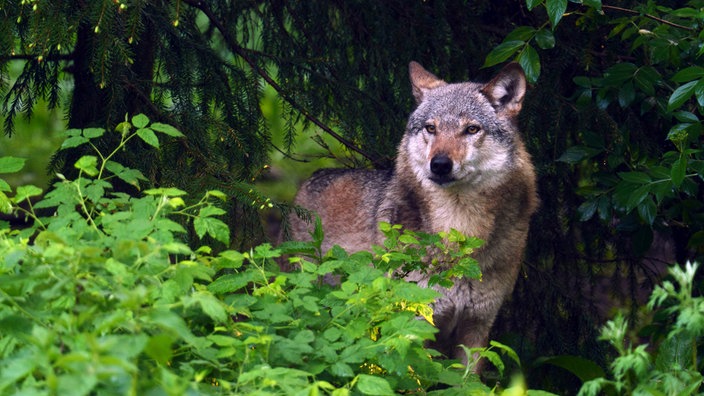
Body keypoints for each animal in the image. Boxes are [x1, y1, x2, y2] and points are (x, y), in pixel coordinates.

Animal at [286, 61, 540, 362]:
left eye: (471, 129)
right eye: (431, 128)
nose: (439, 164)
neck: (459, 231)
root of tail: (314, 176)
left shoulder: (476, 329)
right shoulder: (416, 325)